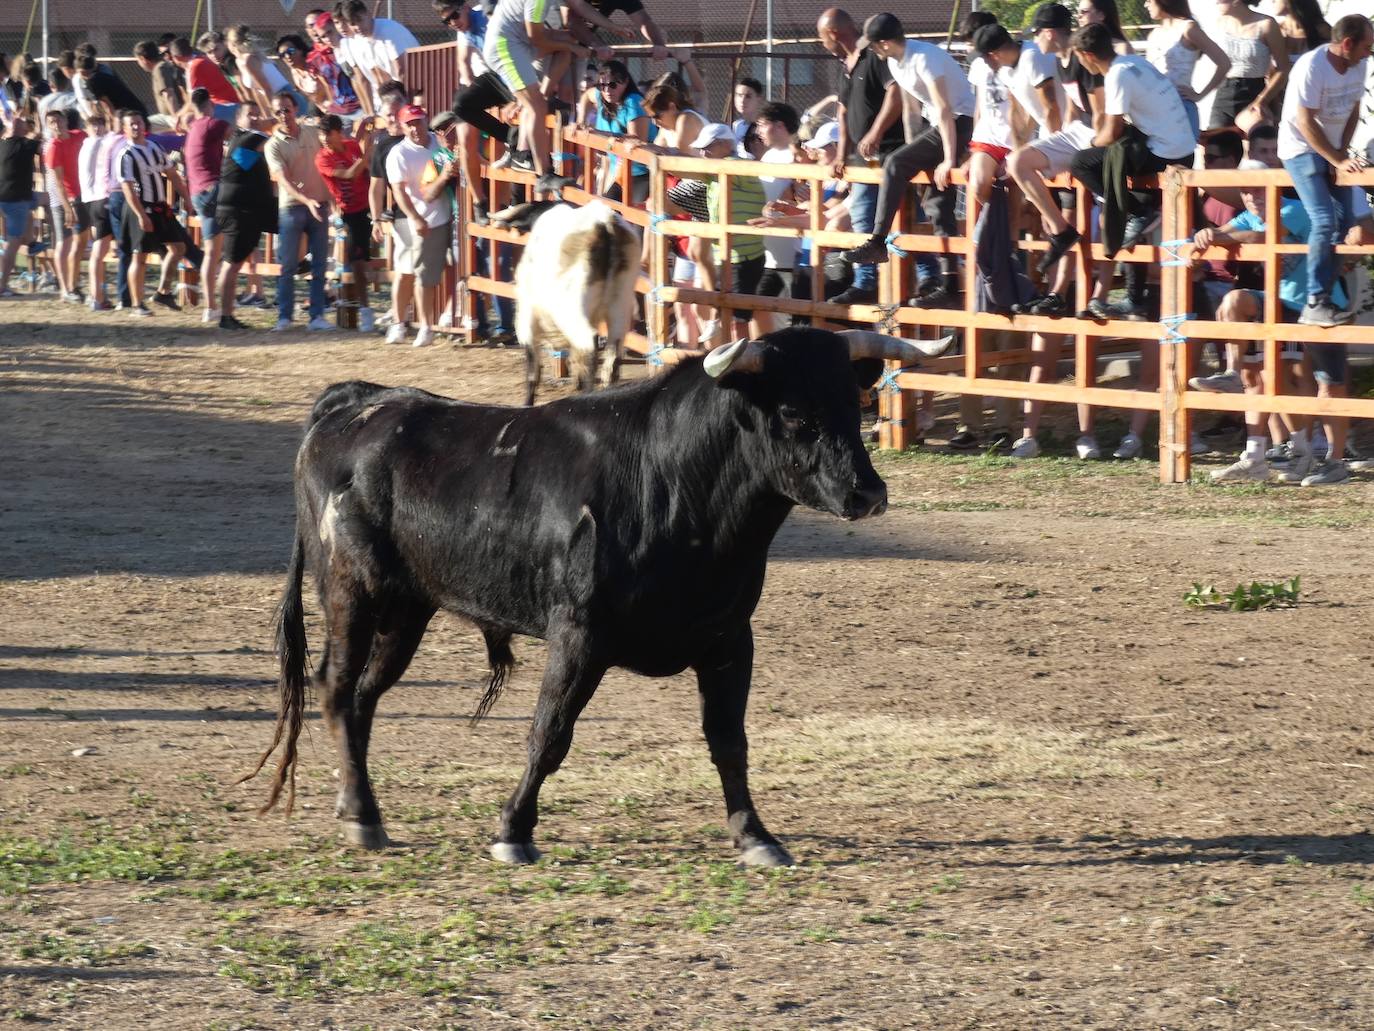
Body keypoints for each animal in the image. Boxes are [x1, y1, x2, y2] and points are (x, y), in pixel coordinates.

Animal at [241, 327, 939, 868]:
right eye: (793, 412)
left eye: (856, 400)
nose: (867, 494)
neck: (673, 482)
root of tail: (356, 402)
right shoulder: (579, 634)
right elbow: (550, 733)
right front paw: (513, 832)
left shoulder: (729, 640)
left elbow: (729, 742)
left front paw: (755, 836)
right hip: (351, 593)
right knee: (335, 686)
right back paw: (362, 815)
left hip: (410, 610)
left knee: (363, 696)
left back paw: (359, 807)